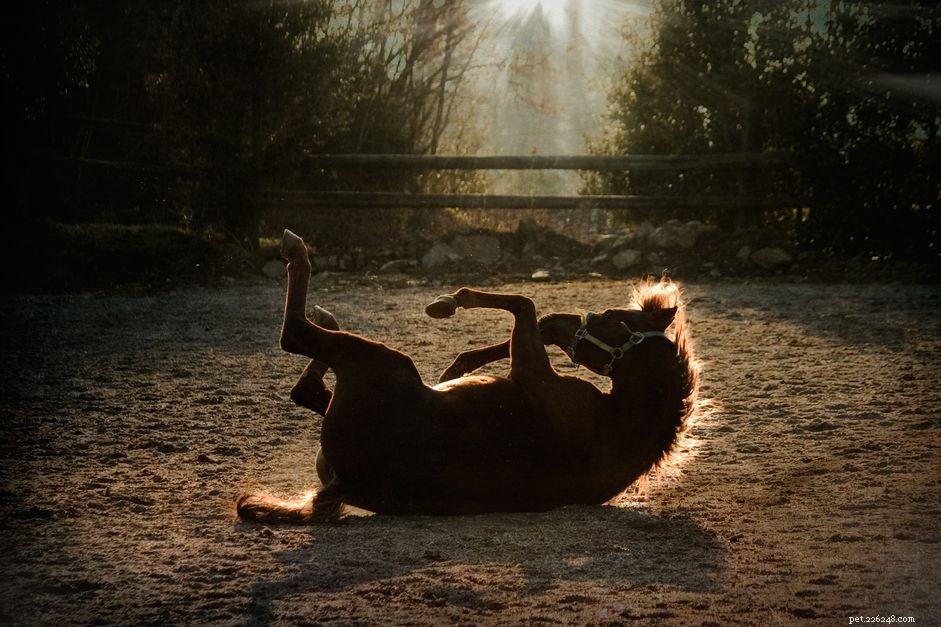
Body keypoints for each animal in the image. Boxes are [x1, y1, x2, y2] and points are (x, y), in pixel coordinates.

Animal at [236, 229, 699, 522]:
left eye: (604, 317)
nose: (567, 322)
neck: (616, 426)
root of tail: (346, 483)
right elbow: (530, 312)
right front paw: (458, 364)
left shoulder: (530, 367)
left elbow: (524, 302)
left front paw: (449, 304)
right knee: (307, 385)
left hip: (382, 359)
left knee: (297, 341)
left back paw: (300, 260)